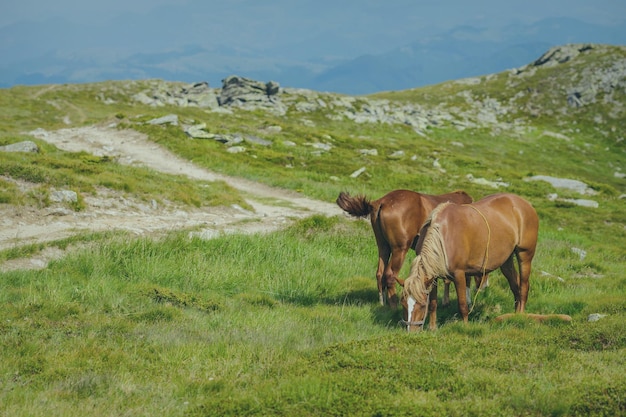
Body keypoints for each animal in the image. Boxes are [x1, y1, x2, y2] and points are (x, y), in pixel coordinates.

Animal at [334, 187, 470, 308]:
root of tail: (382, 202)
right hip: (400, 250)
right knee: (389, 275)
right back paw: (394, 305)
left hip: (383, 247)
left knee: (379, 274)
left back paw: (383, 302)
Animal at [400, 193, 536, 332]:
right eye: (404, 304)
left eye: (422, 305)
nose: (411, 331)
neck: (442, 236)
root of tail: (525, 204)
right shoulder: (433, 275)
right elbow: (433, 303)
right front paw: (433, 327)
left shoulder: (459, 274)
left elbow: (463, 304)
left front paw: (465, 326)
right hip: (506, 261)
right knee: (515, 286)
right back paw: (514, 315)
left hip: (525, 256)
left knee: (523, 286)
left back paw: (520, 315)